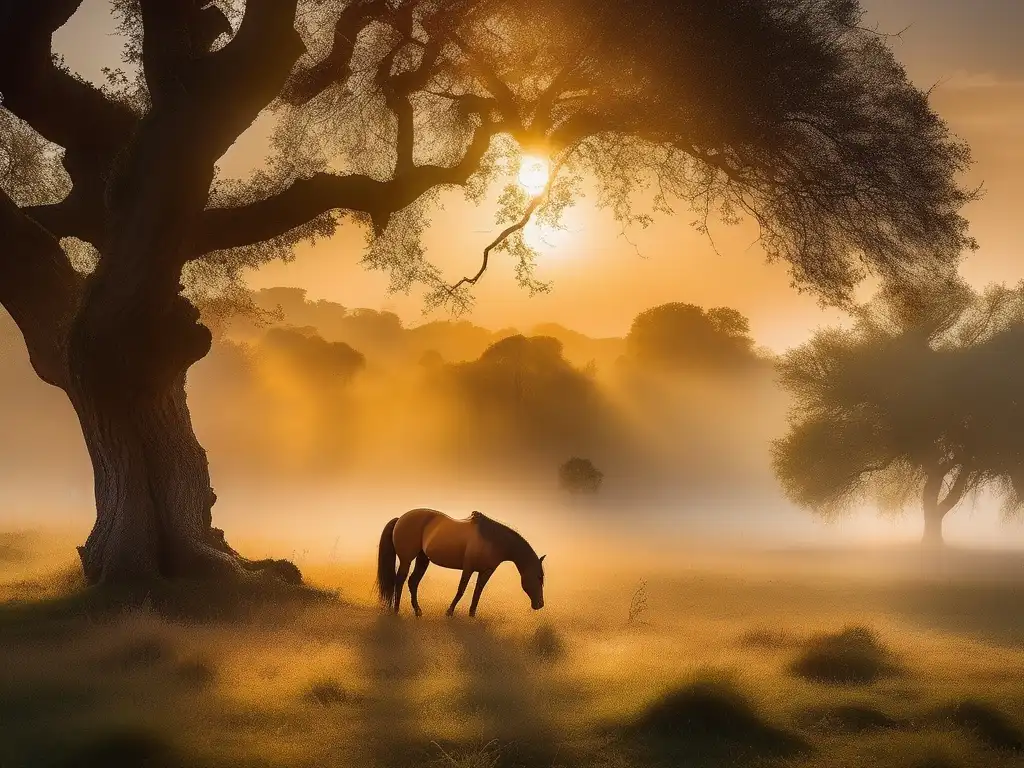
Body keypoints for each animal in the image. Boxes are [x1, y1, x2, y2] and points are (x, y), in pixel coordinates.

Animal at [374, 512, 544, 618]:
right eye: (539, 577)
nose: (540, 604)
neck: (493, 540)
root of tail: (400, 518)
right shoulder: (468, 568)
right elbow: (461, 589)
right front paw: (449, 612)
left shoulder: (486, 571)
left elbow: (478, 592)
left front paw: (472, 615)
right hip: (406, 560)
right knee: (400, 581)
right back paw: (396, 611)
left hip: (422, 559)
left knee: (412, 582)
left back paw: (417, 611)